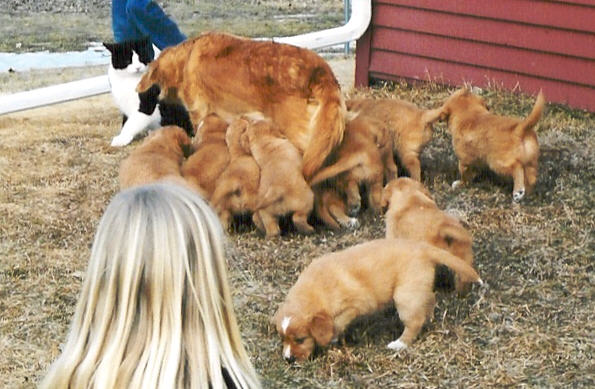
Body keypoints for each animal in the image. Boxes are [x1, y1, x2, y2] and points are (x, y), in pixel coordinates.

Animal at [272, 238, 482, 362]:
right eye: (283, 339)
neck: (314, 290)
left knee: (414, 322)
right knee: (428, 303)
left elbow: (336, 324)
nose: (288, 359)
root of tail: (423, 248)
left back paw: (399, 344)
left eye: (300, 339)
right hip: (416, 290)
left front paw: (331, 338)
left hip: (404, 297)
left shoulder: (352, 307)